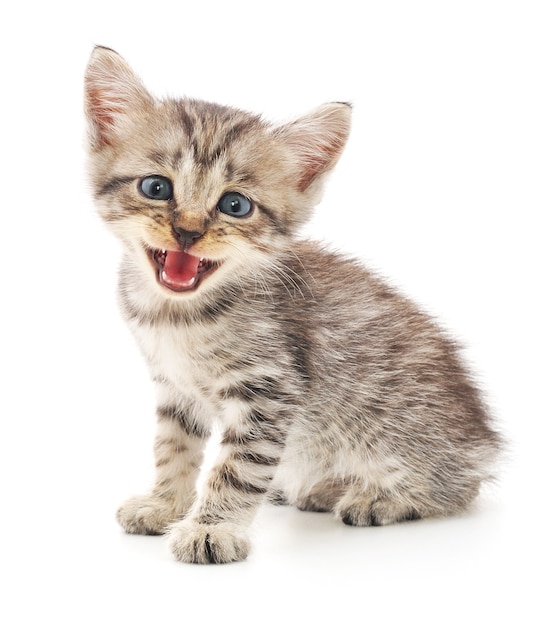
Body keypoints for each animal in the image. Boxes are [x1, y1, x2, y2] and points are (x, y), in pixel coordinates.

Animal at [84, 46, 502, 564]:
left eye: (235, 205)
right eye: (156, 188)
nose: (187, 232)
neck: (177, 316)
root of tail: (483, 439)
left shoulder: (269, 391)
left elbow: (237, 468)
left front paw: (212, 528)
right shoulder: (175, 388)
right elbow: (174, 447)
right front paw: (165, 503)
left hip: (396, 426)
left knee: (457, 486)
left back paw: (379, 496)